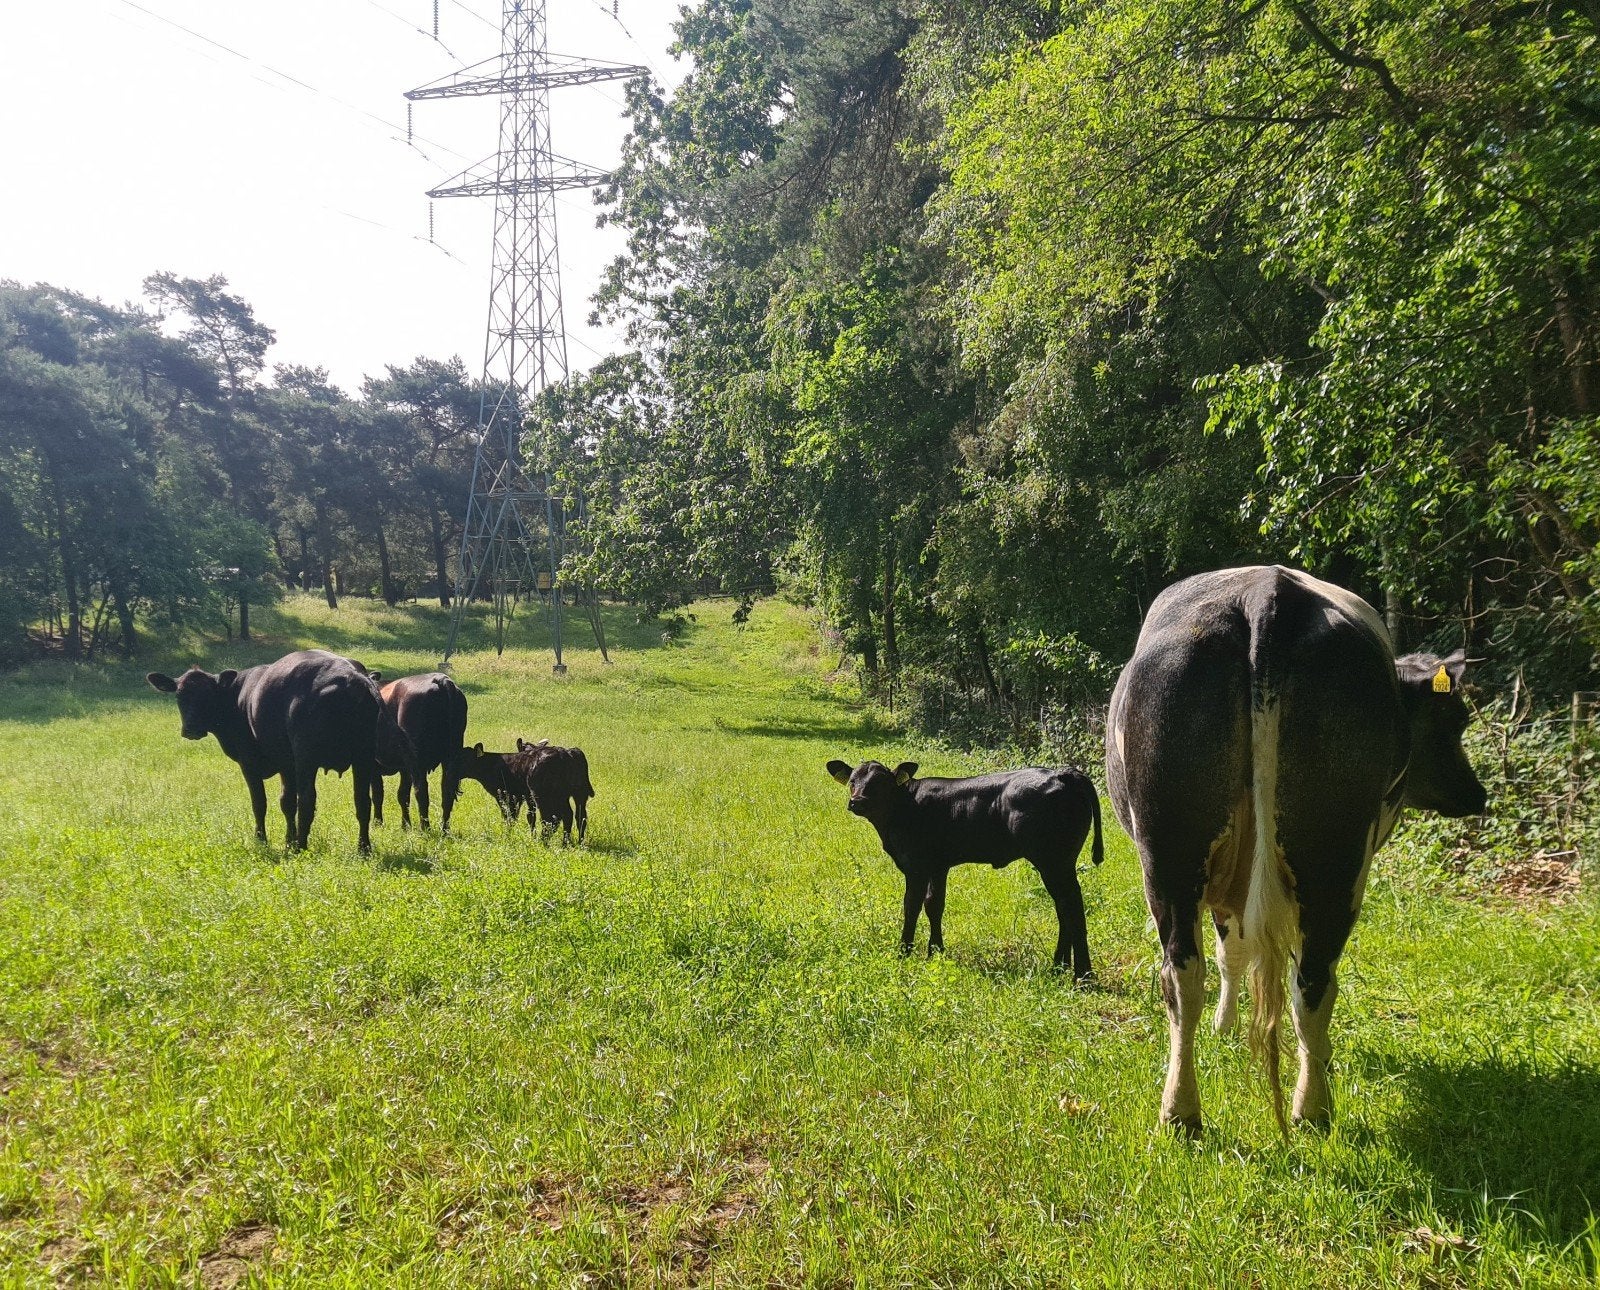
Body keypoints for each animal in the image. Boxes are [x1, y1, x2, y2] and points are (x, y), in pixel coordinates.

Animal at [146, 649, 382, 853]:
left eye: (207, 695)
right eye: (179, 695)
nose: (191, 728)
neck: (236, 698)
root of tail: (352, 677)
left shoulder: (249, 761)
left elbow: (259, 802)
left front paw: (262, 840)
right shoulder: (287, 764)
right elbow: (287, 802)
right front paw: (288, 840)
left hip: (307, 756)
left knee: (308, 800)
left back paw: (302, 847)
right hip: (363, 756)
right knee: (362, 801)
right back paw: (363, 848)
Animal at [367, 672, 468, 833]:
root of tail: (440, 679)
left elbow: (378, 794)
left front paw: (378, 824)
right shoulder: (404, 768)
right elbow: (402, 795)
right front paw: (405, 825)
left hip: (417, 760)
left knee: (421, 790)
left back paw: (425, 828)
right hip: (451, 755)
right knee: (447, 791)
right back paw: (444, 830)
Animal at [825, 759, 1104, 979]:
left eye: (880, 783)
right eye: (852, 781)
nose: (856, 802)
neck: (902, 808)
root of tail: (1061, 773)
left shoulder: (916, 866)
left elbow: (911, 906)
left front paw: (904, 952)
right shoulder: (938, 866)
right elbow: (934, 905)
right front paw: (935, 952)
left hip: (1053, 861)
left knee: (1072, 907)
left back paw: (1082, 976)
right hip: (1058, 863)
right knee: (1063, 907)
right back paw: (1058, 967)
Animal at [1105, 565, 1487, 1137]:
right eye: (1455, 722)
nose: (1478, 796)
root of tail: (1266, 592)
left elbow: (1232, 952)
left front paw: (1226, 1027)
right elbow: (1236, 952)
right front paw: (1229, 1027)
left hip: (1175, 855)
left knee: (1189, 975)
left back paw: (1185, 1112)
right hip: (1333, 864)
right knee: (1308, 981)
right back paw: (1310, 1106)